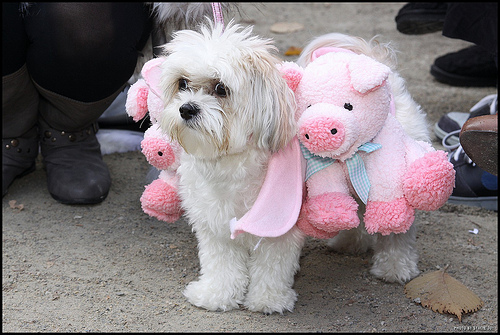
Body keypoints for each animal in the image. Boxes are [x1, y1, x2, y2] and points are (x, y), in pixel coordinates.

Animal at [156, 21, 304, 316]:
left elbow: (273, 265)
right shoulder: (215, 223)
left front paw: (269, 298)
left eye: (221, 88)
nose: (187, 109)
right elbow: (221, 263)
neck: (227, 165)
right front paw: (216, 294)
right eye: (182, 83)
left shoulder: (278, 227)